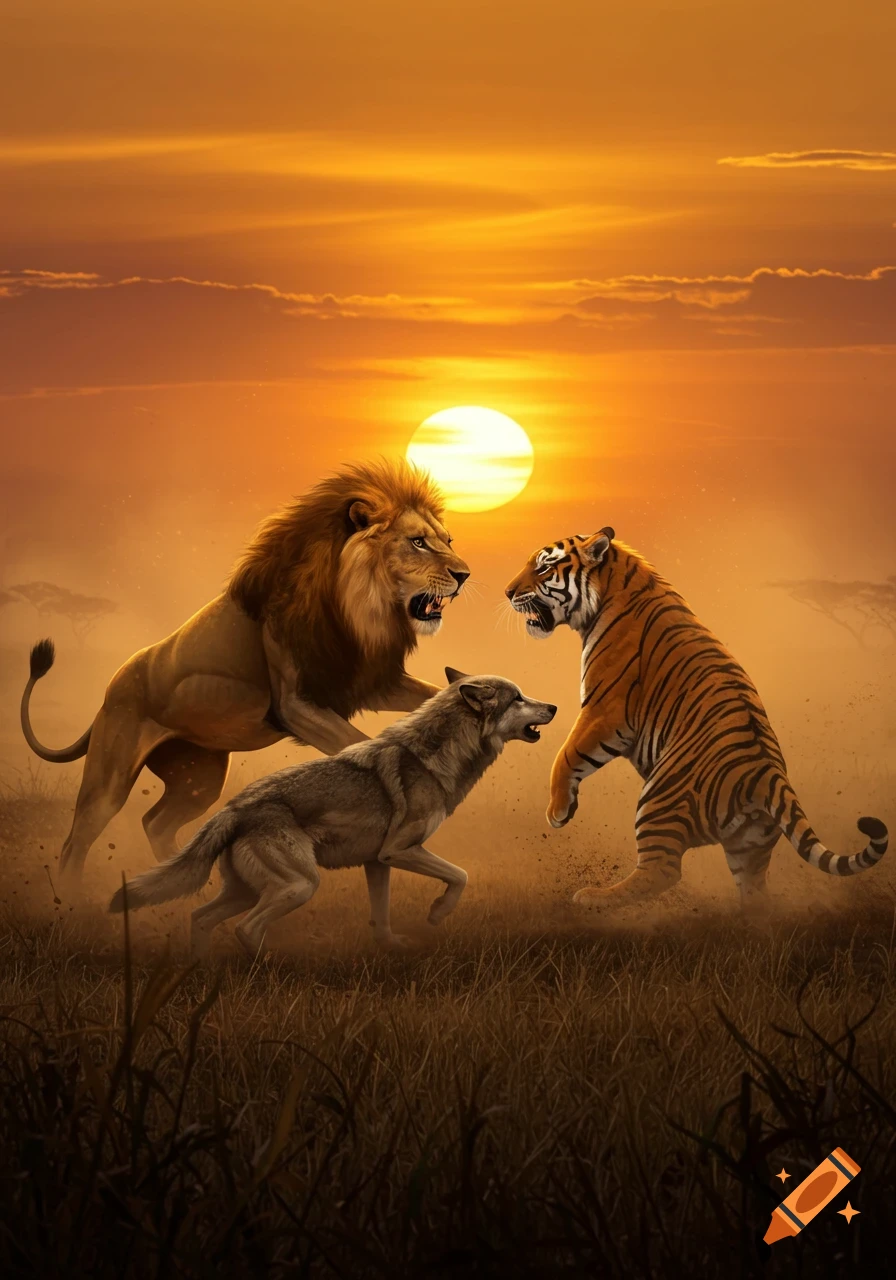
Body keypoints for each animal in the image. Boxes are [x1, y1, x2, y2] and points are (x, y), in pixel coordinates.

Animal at [21, 458, 470, 895]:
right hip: (111, 775)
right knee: (77, 838)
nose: (464, 575)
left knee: (157, 822)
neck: (361, 609)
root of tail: (109, 691)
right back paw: (76, 899)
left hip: (199, 777)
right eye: (417, 542)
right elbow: (355, 741)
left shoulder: (367, 682)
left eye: (447, 540)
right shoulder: (295, 704)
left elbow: (431, 692)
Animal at [109, 668, 556, 956]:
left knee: (201, 917)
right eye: (518, 698)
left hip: (250, 890)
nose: (553, 706)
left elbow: (382, 917)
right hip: (300, 886)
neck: (434, 755)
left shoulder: (378, 862)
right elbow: (461, 875)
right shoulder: (399, 851)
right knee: (245, 929)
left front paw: (392, 949)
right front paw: (436, 914)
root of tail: (233, 809)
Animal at [504, 527, 888, 911]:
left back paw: (593, 897)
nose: (507, 592)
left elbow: (566, 755)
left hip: (659, 795)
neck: (611, 588)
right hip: (749, 847)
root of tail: (769, 776)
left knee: (662, 870)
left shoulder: (606, 709)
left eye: (543, 568)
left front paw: (558, 812)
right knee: (755, 895)